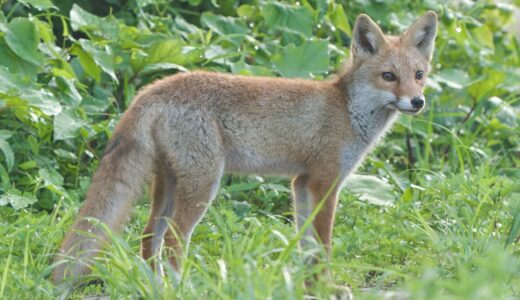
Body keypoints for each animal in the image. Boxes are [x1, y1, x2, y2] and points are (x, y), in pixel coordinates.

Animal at [52, 10, 436, 294]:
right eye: (389, 76)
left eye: (419, 74)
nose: (417, 102)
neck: (347, 109)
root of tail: (153, 88)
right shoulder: (325, 183)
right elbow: (323, 246)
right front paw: (326, 288)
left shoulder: (301, 182)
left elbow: (307, 247)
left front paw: (311, 288)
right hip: (203, 183)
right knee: (174, 239)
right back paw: (184, 287)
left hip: (170, 181)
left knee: (149, 235)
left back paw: (156, 287)